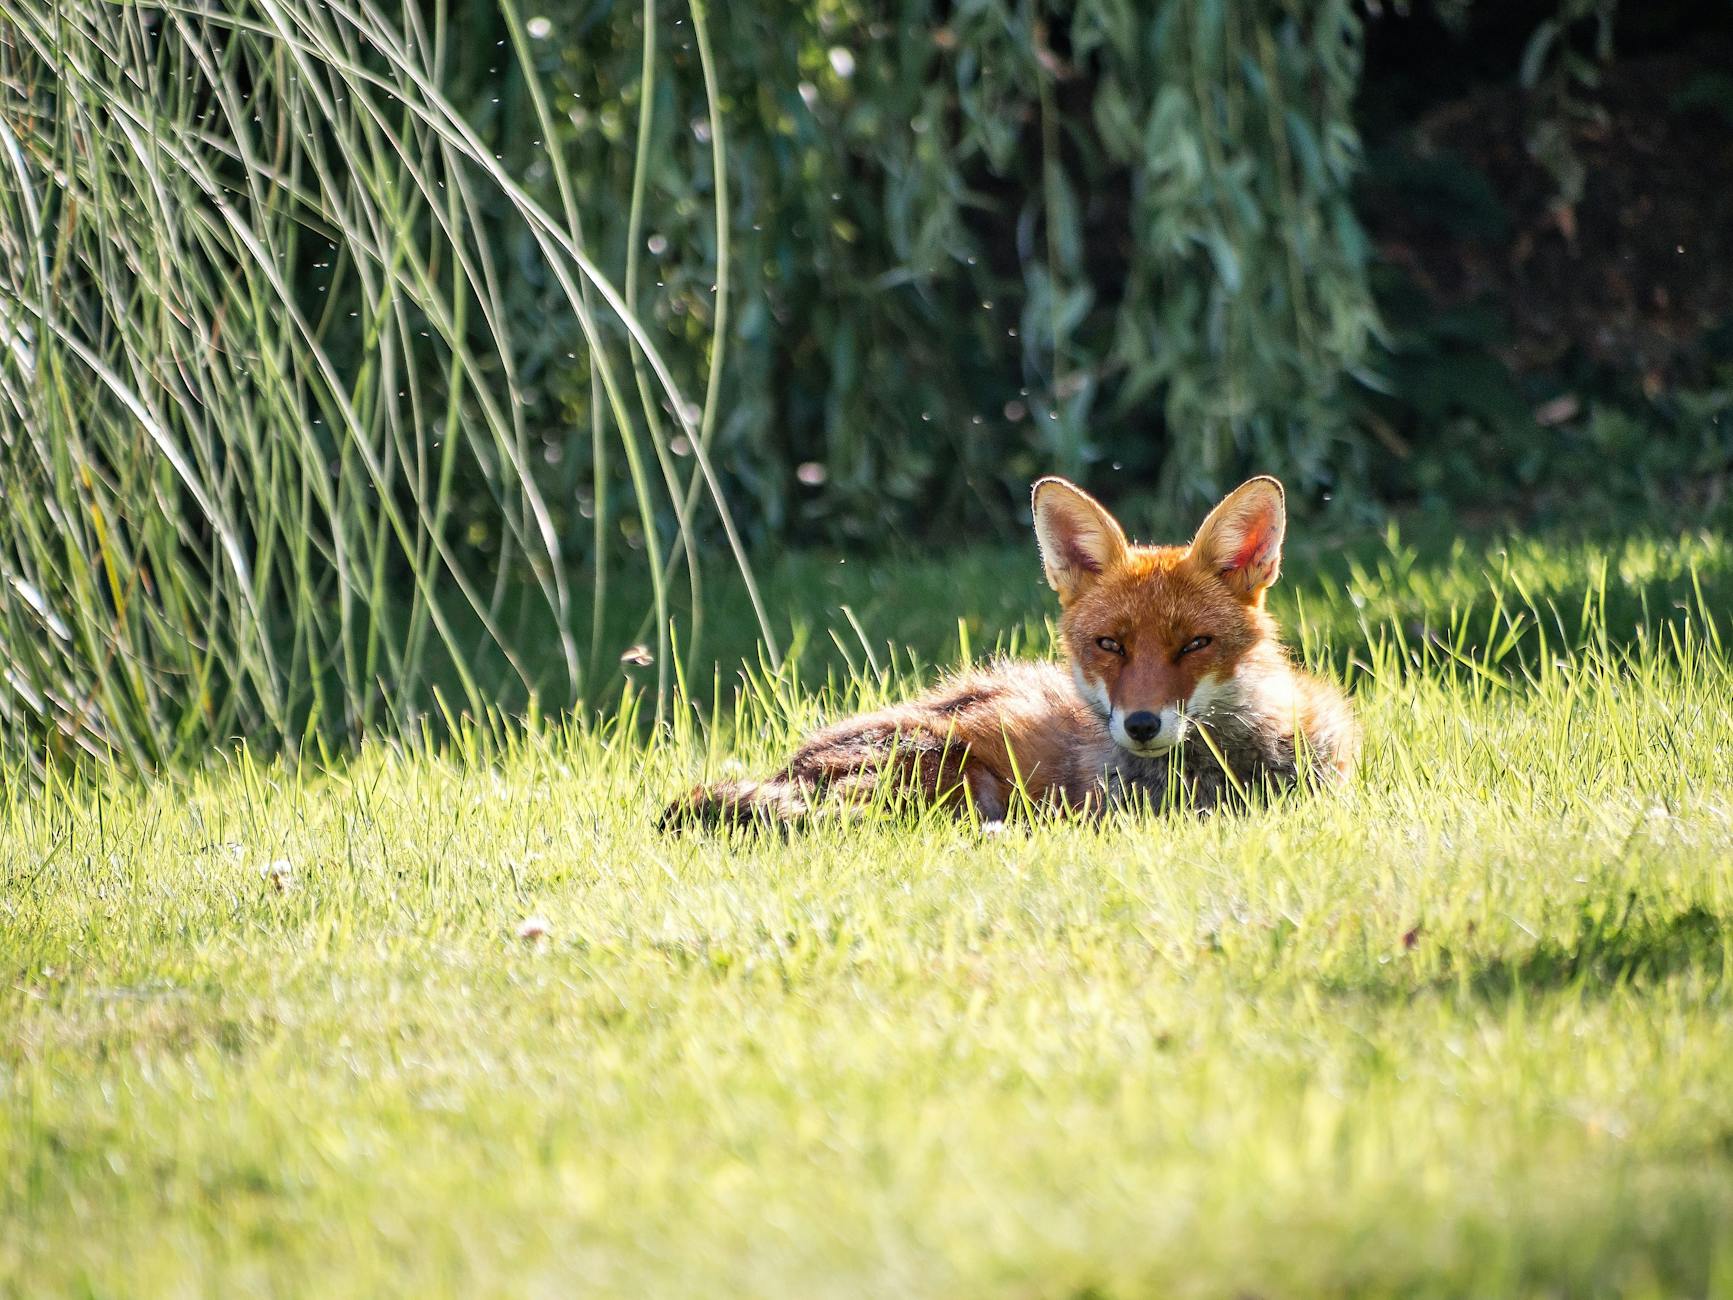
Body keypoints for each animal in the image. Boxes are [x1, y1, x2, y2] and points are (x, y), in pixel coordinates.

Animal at [661, 475, 1357, 828]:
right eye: (1110, 645)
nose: (1141, 724)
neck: (1227, 771)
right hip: (954, 768)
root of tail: (788, 765)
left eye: (1195, 645)